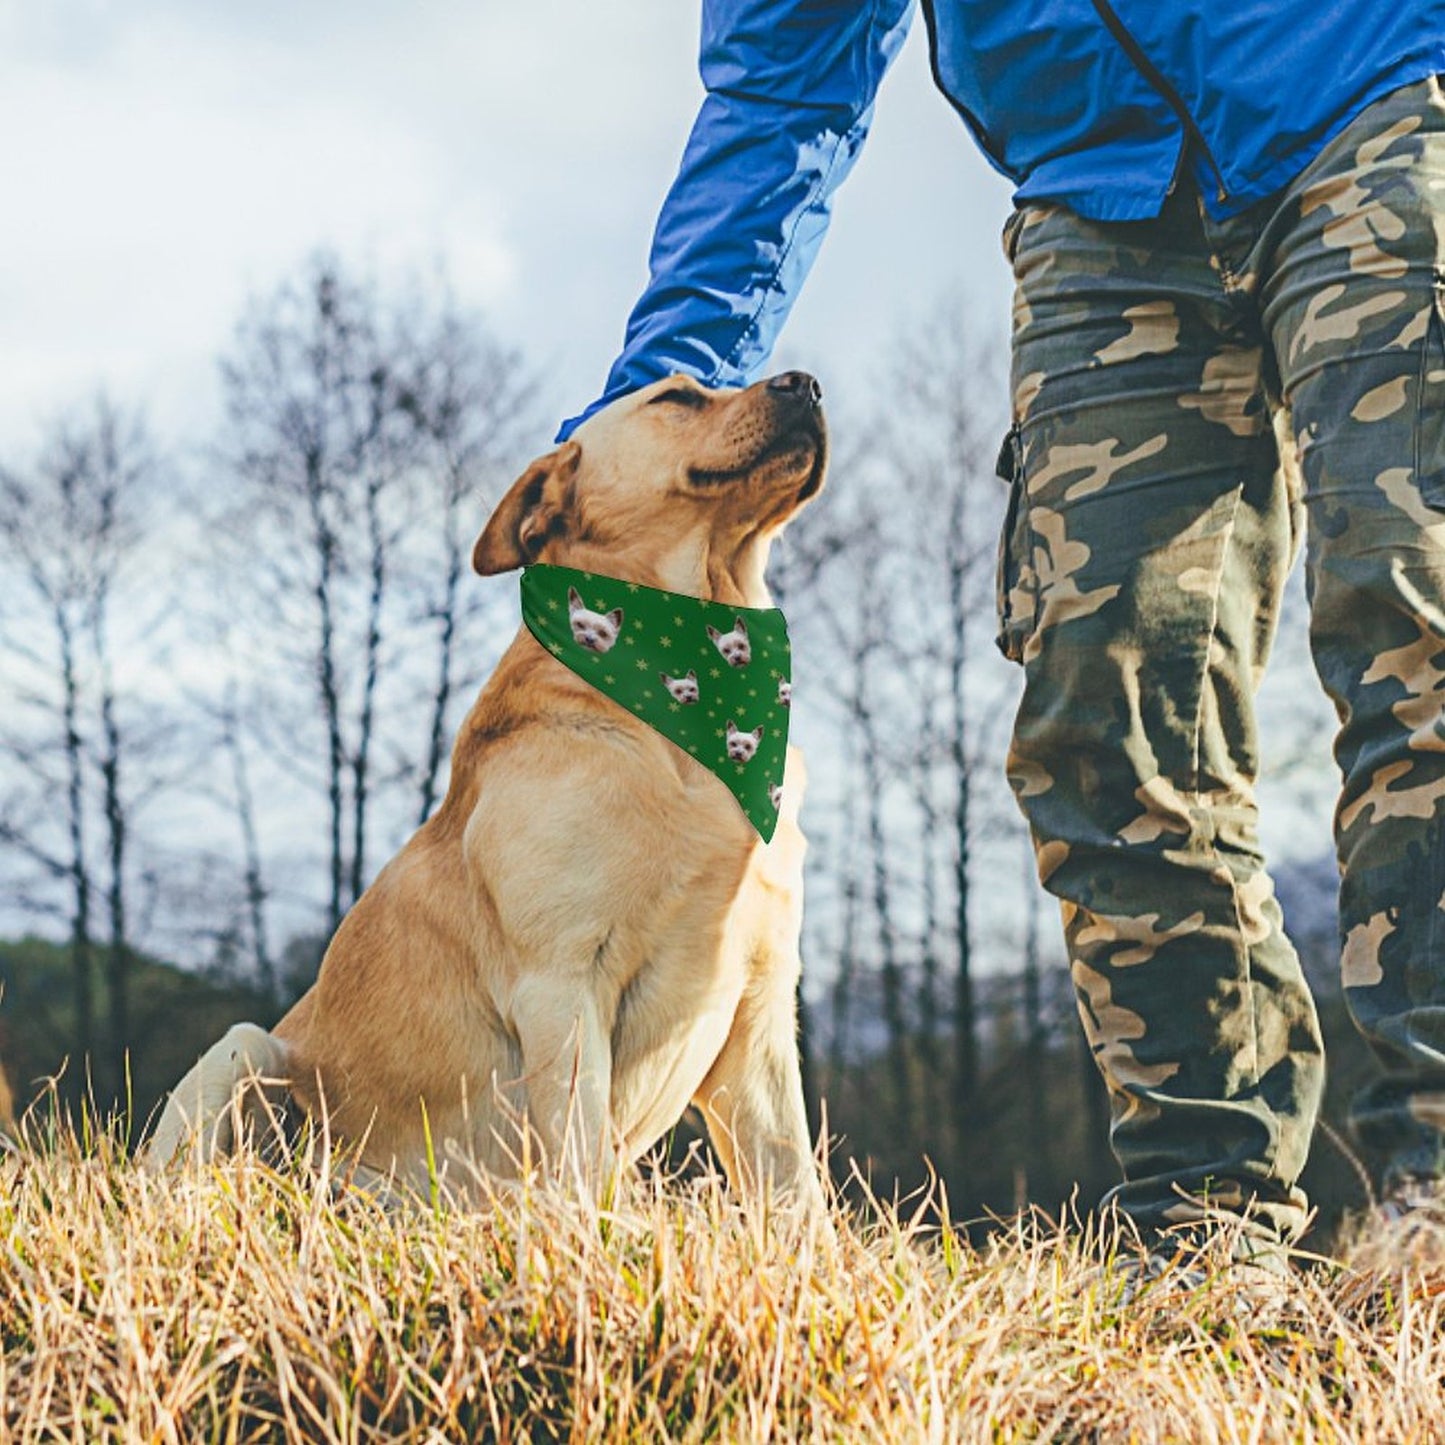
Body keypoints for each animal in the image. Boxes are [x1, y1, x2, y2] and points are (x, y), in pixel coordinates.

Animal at [148, 372, 832, 1208]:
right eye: (676, 397)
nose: (806, 383)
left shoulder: (760, 1001)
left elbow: (796, 1190)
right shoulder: (561, 981)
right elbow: (583, 1163)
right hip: (244, 1051)